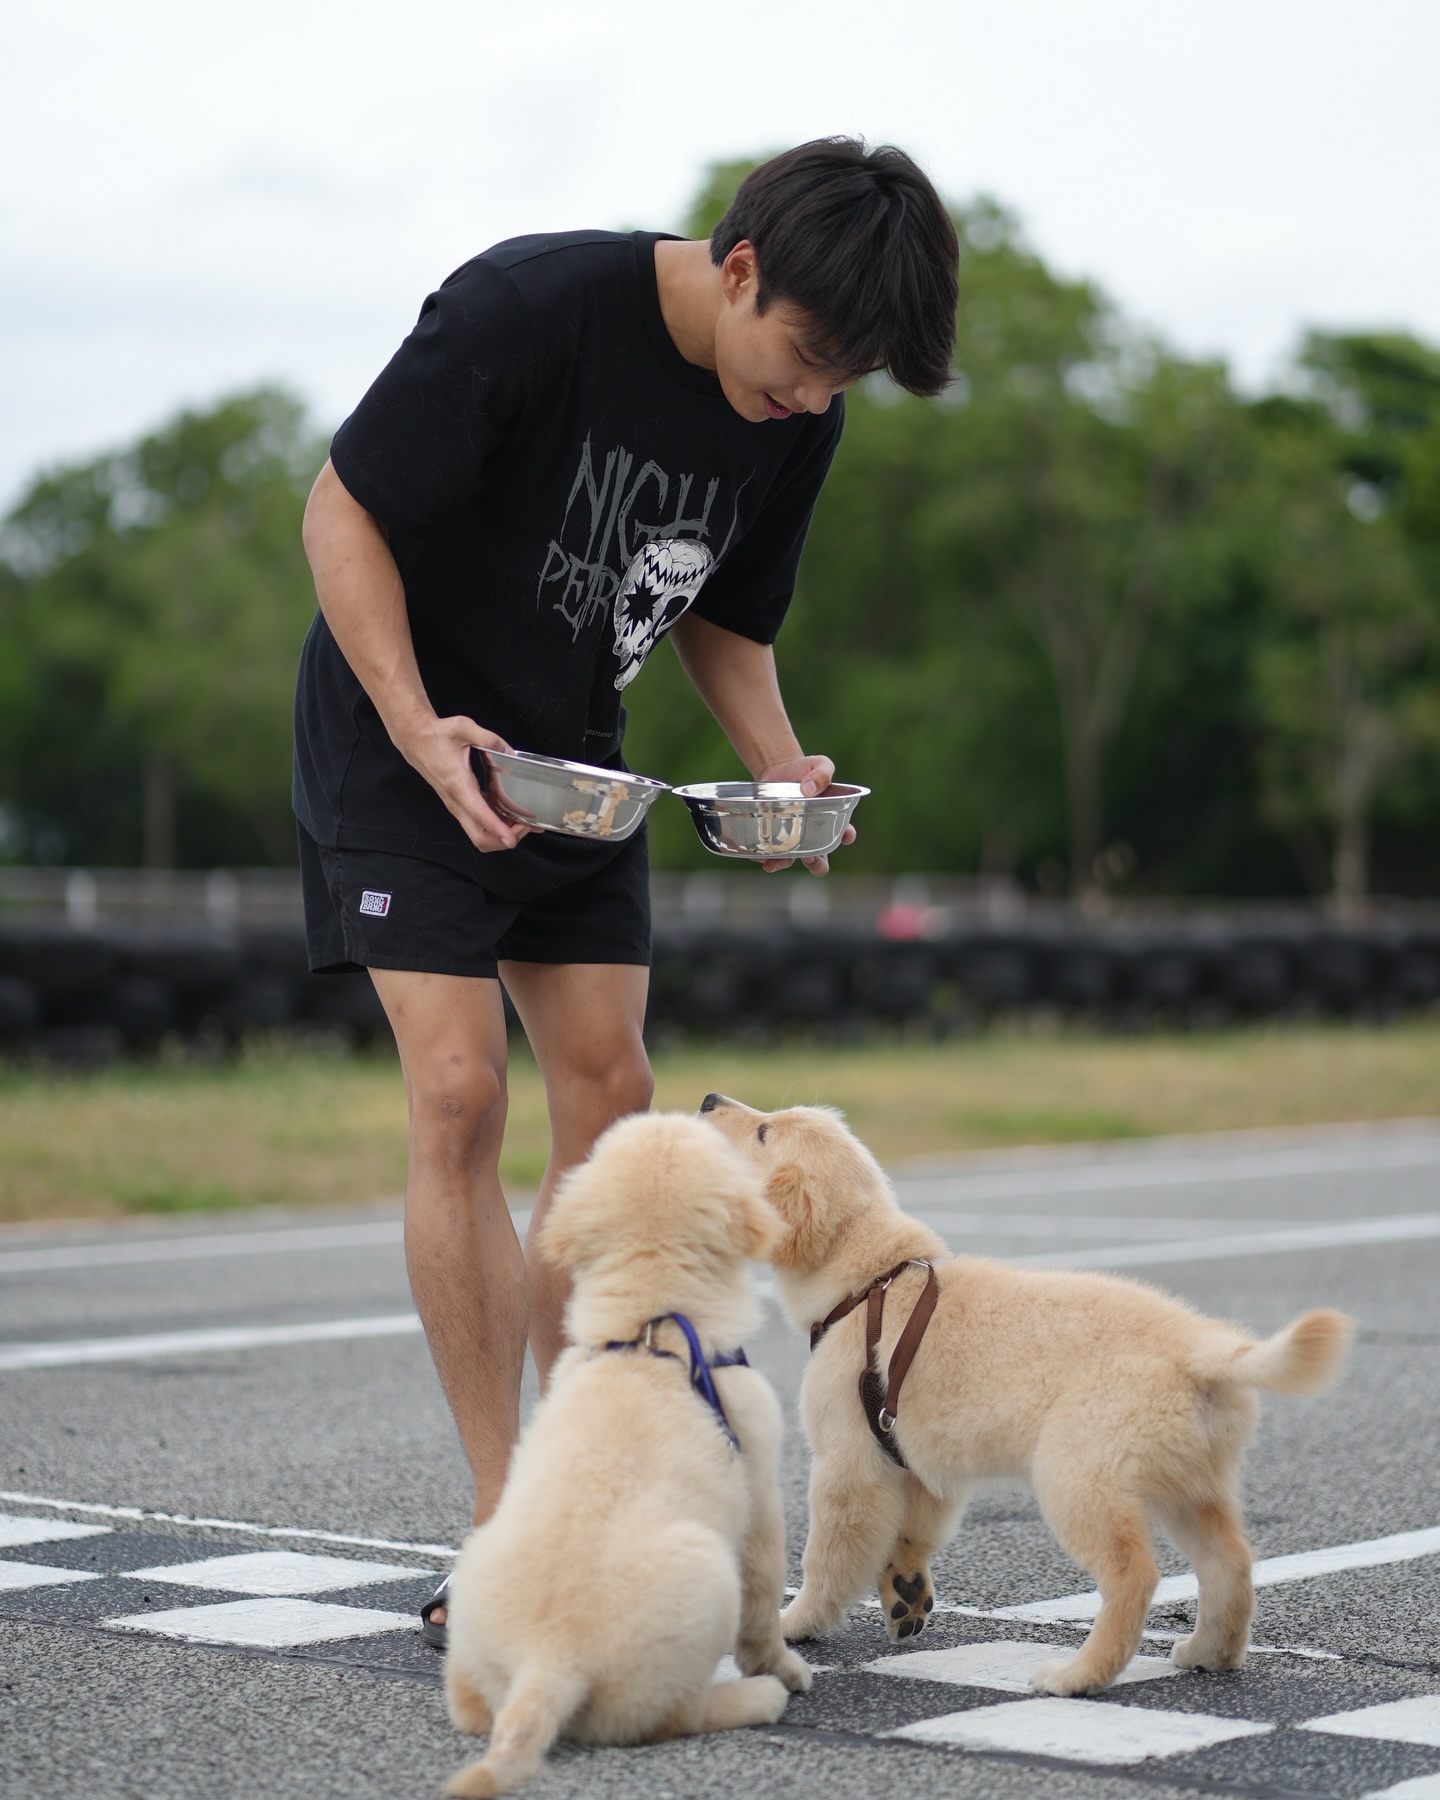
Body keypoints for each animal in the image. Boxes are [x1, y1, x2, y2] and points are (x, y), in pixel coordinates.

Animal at [441, 1116, 810, 1792]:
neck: (650, 1328)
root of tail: (548, 1660)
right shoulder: (760, 1490)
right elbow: (764, 1602)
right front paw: (784, 1667)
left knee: (474, 1708)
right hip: (706, 1574)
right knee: (673, 1717)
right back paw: (757, 1697)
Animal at [698, 1094, 1353, 1699]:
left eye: (763, 1132)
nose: (708, 1100)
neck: (871, 1281)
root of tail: (1204, 1350)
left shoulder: (847, 1463)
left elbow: (827, 1555)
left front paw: (796, 1623)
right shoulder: (914, 1460)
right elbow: (913, 1531)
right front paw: (905, 1590)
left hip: (1078, 1474)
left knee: (1134, 1573)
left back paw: (1080, 1675)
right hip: (1190, 1481)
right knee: (1230, 1562)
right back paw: (1208, 1652)